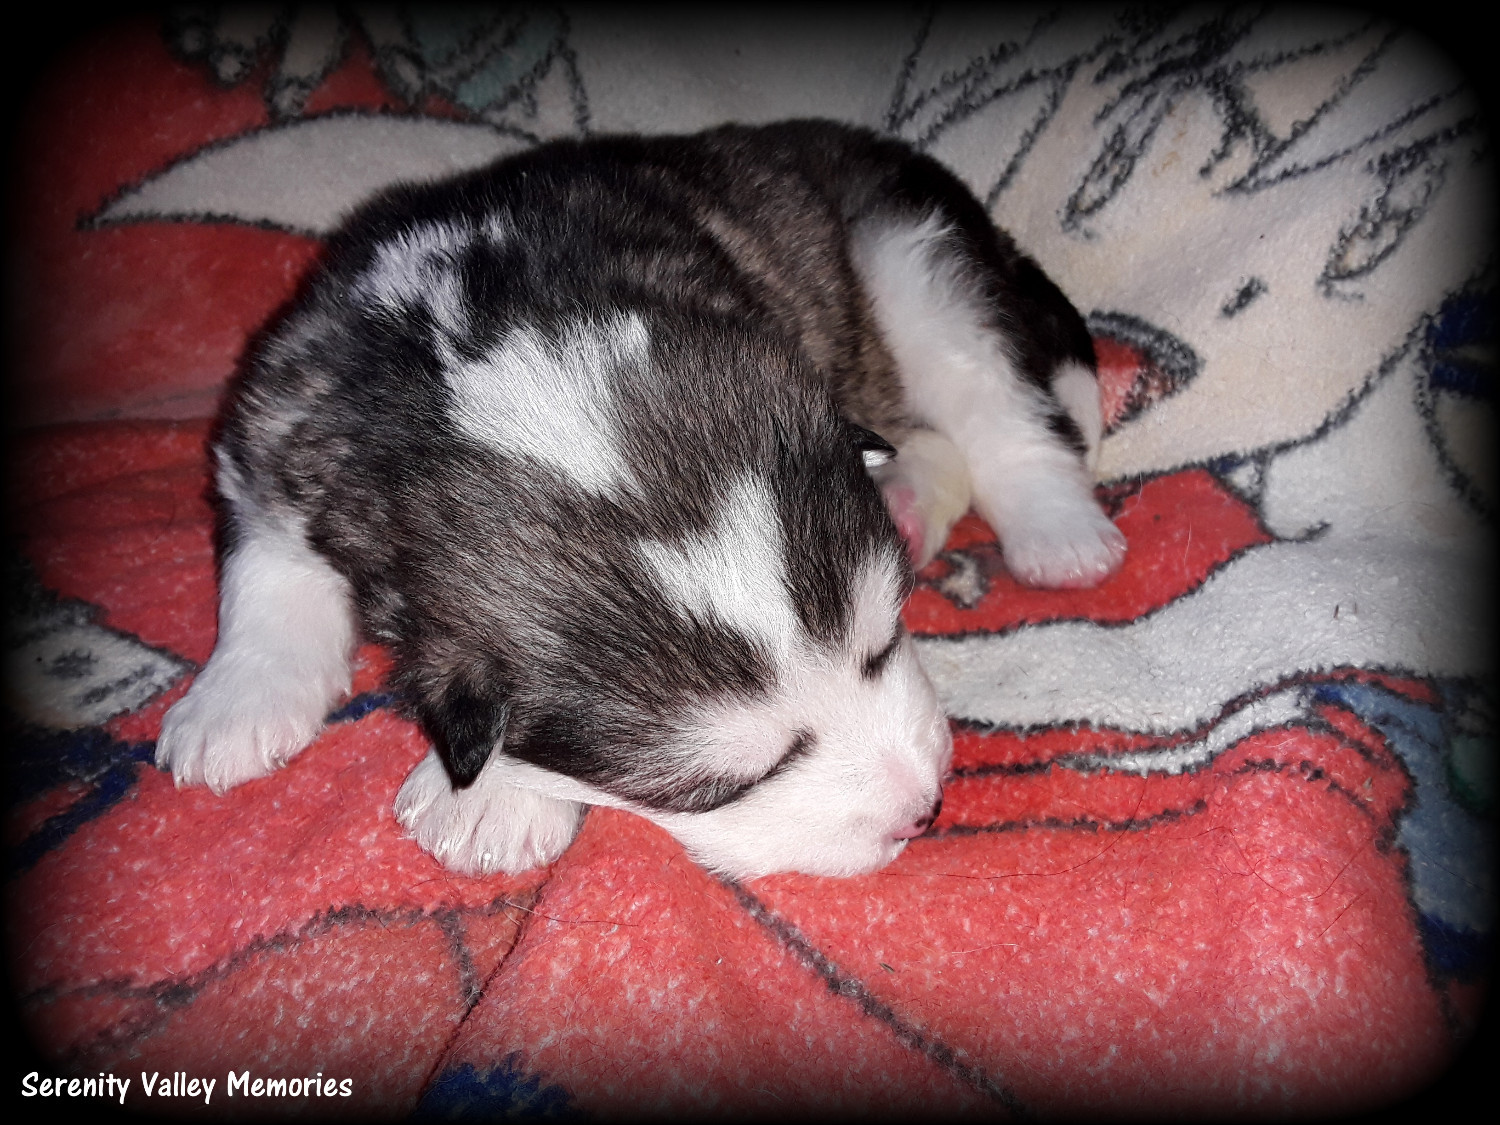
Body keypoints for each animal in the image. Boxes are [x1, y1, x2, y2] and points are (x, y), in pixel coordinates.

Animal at [155, 119, 1125, 879]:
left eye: (885, 641)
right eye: (730, 783)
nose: (923, 808)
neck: (502, 366)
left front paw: (489, 798)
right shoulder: (283, 408)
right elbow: (267, 556)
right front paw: (233, 705)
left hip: (913, 259)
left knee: (1000, 409)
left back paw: (1060, 533)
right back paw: (911, 501)